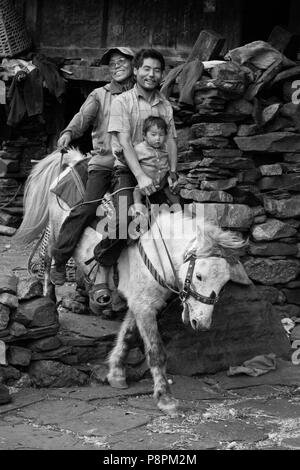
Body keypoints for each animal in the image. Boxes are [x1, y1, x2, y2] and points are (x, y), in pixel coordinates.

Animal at [15, 149, 251, 414]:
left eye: (224, 282)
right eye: (199, 275)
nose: (200, 323)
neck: (159, 250)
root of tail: (72, 162)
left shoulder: (141, 303)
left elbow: (128, 335)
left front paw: (116, 373)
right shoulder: (145, 307)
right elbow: (156, 350)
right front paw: (165, 398)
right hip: (56, 231)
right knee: (50, 260)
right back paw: (50, 301)